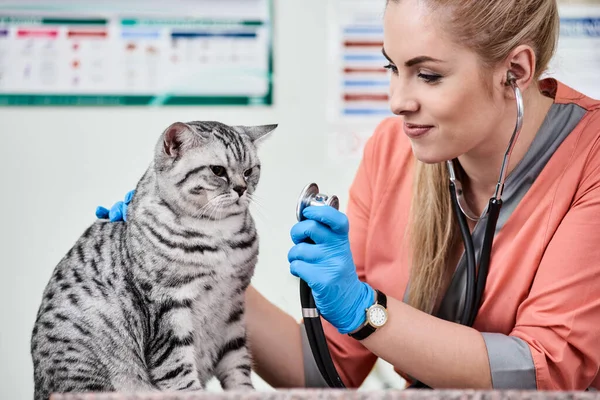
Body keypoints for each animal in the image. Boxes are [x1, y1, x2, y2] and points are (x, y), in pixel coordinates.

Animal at [30, 120, 276, 398]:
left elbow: (237, 365)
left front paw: (247, 391)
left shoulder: (233, 306)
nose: (241, 189)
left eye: (249, 171)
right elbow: (177, 371)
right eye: (218, 171)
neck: (220, 238)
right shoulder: (166, 305)